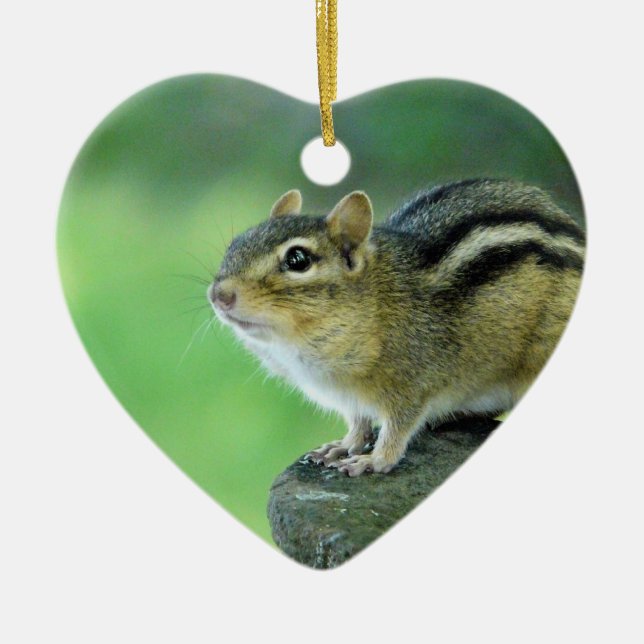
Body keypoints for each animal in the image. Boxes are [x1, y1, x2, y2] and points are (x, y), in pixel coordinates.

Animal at [208, 179, 585, 476]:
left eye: (298, 259)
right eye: (236, 244)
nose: (219, 295)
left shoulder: (414, 382)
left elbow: (397, 429)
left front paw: (373, 461)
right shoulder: (351, 398)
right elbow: (358, 423)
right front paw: (343, 446)